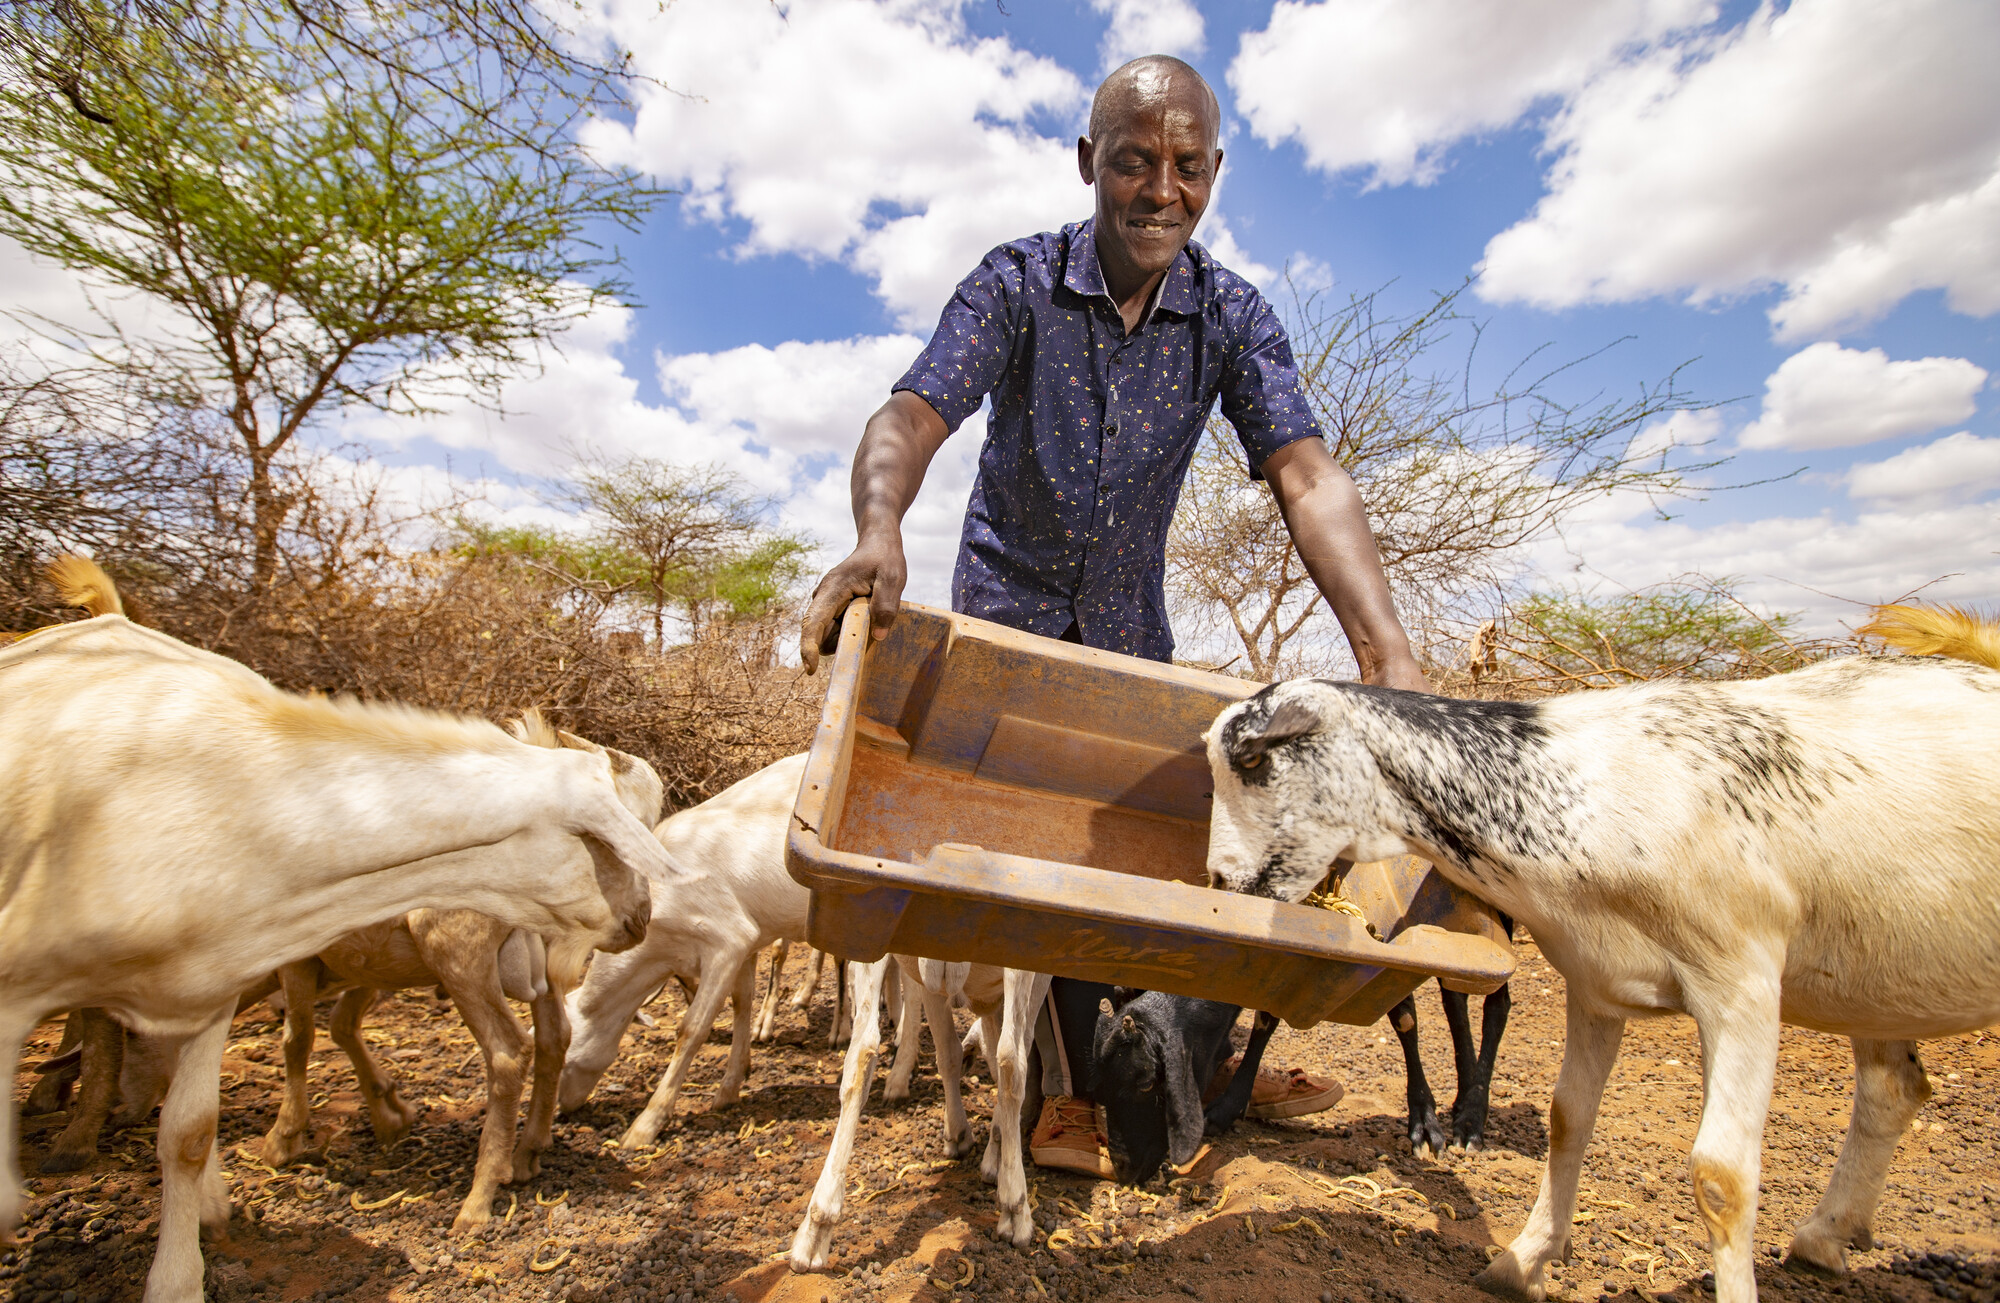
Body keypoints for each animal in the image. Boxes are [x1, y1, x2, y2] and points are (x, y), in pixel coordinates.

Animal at [0, 591, 676, 1303]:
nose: (641, 917)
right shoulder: (352, 965)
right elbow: (341, 1028)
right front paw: (388, 1114)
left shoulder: (294, 961)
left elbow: (296, 1039)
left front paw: (284, 1140)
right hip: (527, 960)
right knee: (551, 1039)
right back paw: (527, 1152)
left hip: (458, 950)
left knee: (506, 1053)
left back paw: (478, 1199)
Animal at [1192, 611, 1992, 1303]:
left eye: (1254, 758)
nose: (1222, 882)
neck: (1582, 797)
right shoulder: (1598, 981)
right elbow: (1567, 1118)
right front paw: (1521, 1260)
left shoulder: (1741, 983)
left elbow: (1722, 1177)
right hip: (1876, 974)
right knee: (1894, 1089)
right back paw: (1824, 1237)